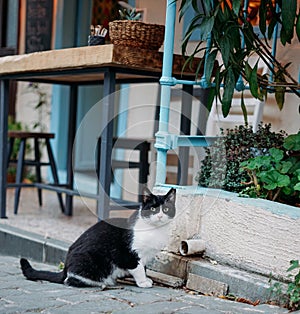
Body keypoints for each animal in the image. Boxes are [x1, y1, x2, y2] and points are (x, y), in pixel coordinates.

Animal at [19, 188, 176, 288]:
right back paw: (104, 282)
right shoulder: (128, 254)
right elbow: (138, 268)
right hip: (88, 261)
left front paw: (145, 278)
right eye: (153, 209)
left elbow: (144, 267)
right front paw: (143, 282)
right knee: (70, 280)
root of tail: (65, 267)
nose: (160, 216)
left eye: (166, 209)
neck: (154, 230)